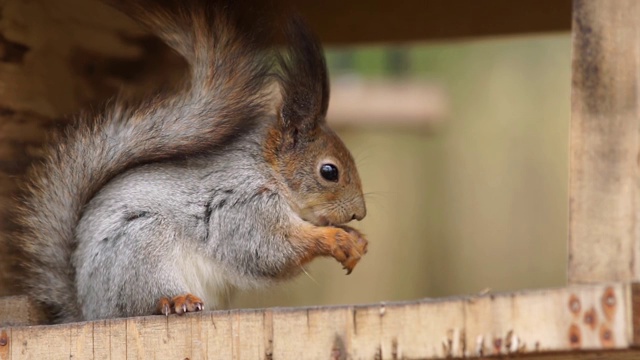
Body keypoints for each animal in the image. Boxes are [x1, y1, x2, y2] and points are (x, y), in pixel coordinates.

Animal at [11, 0, 364, 324]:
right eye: (329, 171)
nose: (359, 214)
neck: (269, 171)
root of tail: (88, 311)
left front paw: (355, 239)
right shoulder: (243, 207)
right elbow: (270, 250)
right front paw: (335, 238)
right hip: (142, 246)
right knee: (145, 301)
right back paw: (175, 299)